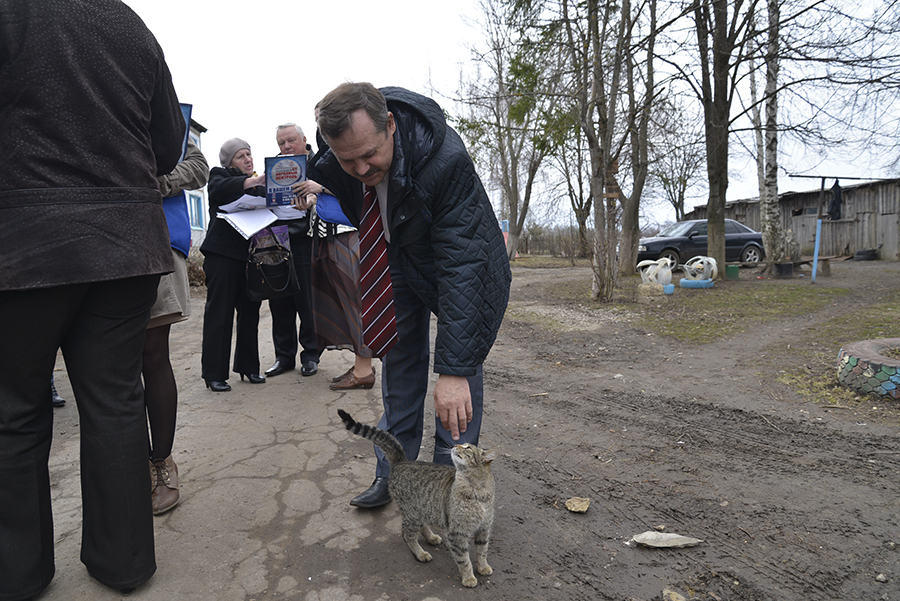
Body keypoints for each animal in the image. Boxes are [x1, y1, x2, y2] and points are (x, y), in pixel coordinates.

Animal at [336, 408, 496, 584]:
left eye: (468, 448)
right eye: (463, 445)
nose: (455, 444)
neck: (476, 491)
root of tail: (402, 461)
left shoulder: (484, 528)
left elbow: (482, 550)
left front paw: (483, 567)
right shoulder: (457, 533)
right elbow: (463, 558)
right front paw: (468, 577)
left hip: (422, 509)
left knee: (421, 526)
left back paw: (431, 538)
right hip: (412, 513)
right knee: (407, 535)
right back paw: (420, 553)